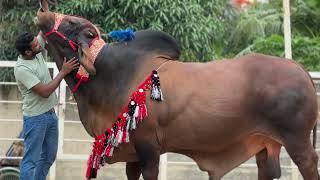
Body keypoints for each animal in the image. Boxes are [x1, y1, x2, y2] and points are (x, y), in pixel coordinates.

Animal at [36, 1, 318, 179]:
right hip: (266, 147)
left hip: (298, 143)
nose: (43, 11)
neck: (111, 73)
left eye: (73, 22)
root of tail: (300, 69)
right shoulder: (131, 154)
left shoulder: (148, 149)